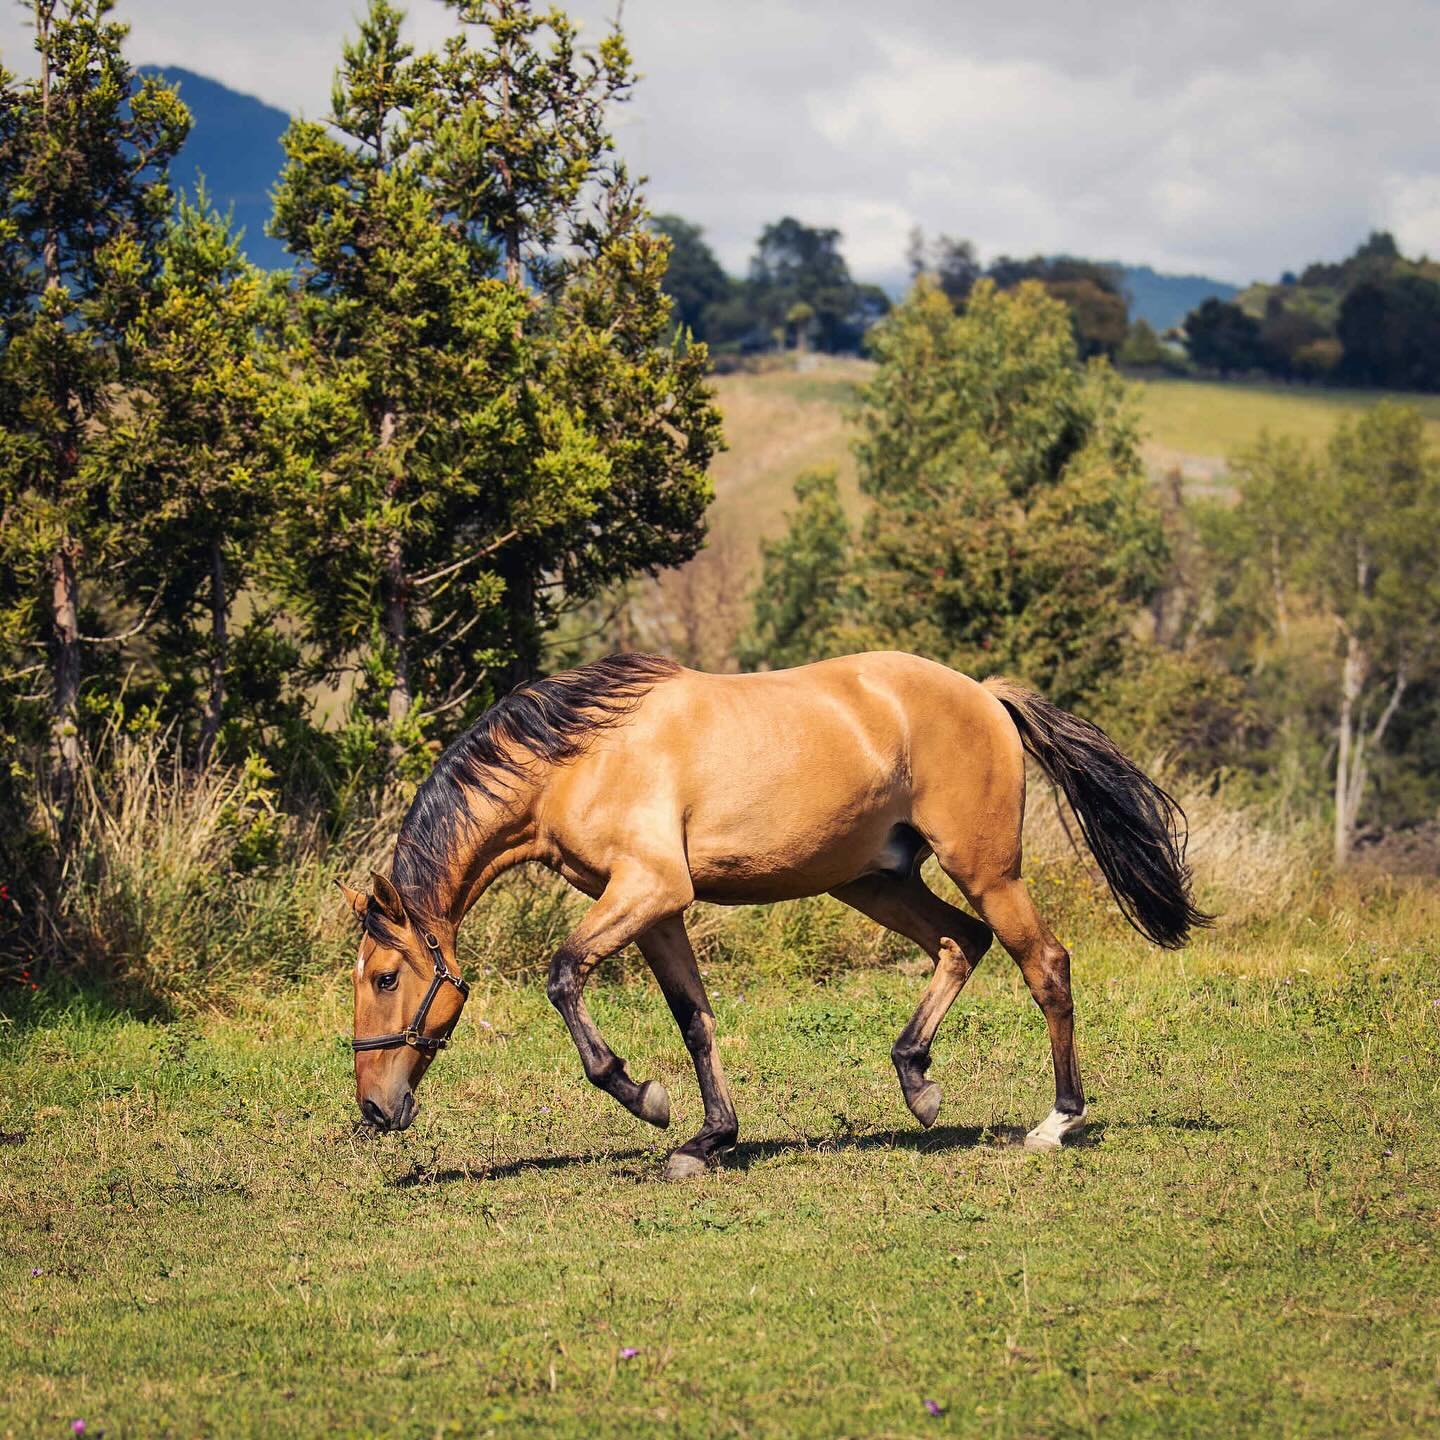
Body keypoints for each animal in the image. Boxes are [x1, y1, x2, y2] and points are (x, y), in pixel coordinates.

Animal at [339, 651, 1207, 1178]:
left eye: (383, 977)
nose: (374, 1109)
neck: (577, 757)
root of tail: (985, 694)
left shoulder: (648, 890)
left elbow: (563, 977)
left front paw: (642, 1097)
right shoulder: (656, 909)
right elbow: (694, 1019)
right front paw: (708, 1138)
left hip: (985, 868)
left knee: (1044, 964)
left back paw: (1057, 1121)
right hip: (872, 880)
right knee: (963, 941)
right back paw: (916, 1082)